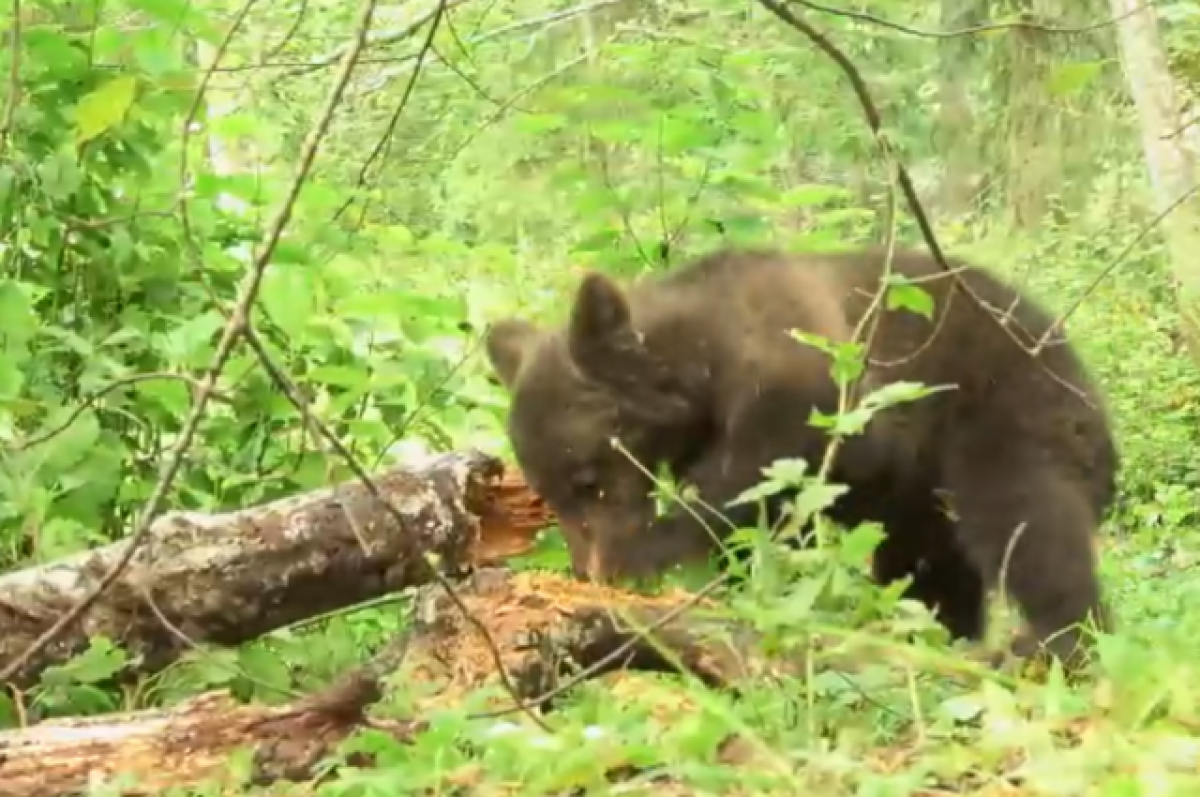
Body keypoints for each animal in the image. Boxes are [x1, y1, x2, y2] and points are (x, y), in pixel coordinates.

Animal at [482, 244, 1118, 667]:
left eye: (587, 479)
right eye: (548, 492)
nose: (592, 570)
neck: (699, 366)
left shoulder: (820, 385)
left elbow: (754, 478)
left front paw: (653, 551)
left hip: (1006, 409)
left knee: (1030, 521)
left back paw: (1055, 643)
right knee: (931, 566)